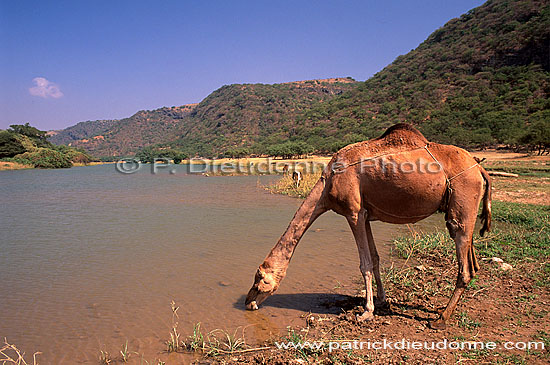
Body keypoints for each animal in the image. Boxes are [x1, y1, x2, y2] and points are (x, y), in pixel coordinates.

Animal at [248, 123, 494, 328]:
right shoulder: (366, 215)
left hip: (463, 198)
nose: (248, 301)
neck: (328, 183)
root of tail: (479, 169)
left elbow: (364, 263)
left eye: (259, 278)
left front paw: (366, 312)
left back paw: (441, 319)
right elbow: (375, 259)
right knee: (472, 260)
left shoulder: (353, 212)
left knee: (465, 266)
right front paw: (383, 301)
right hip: (464, 211)